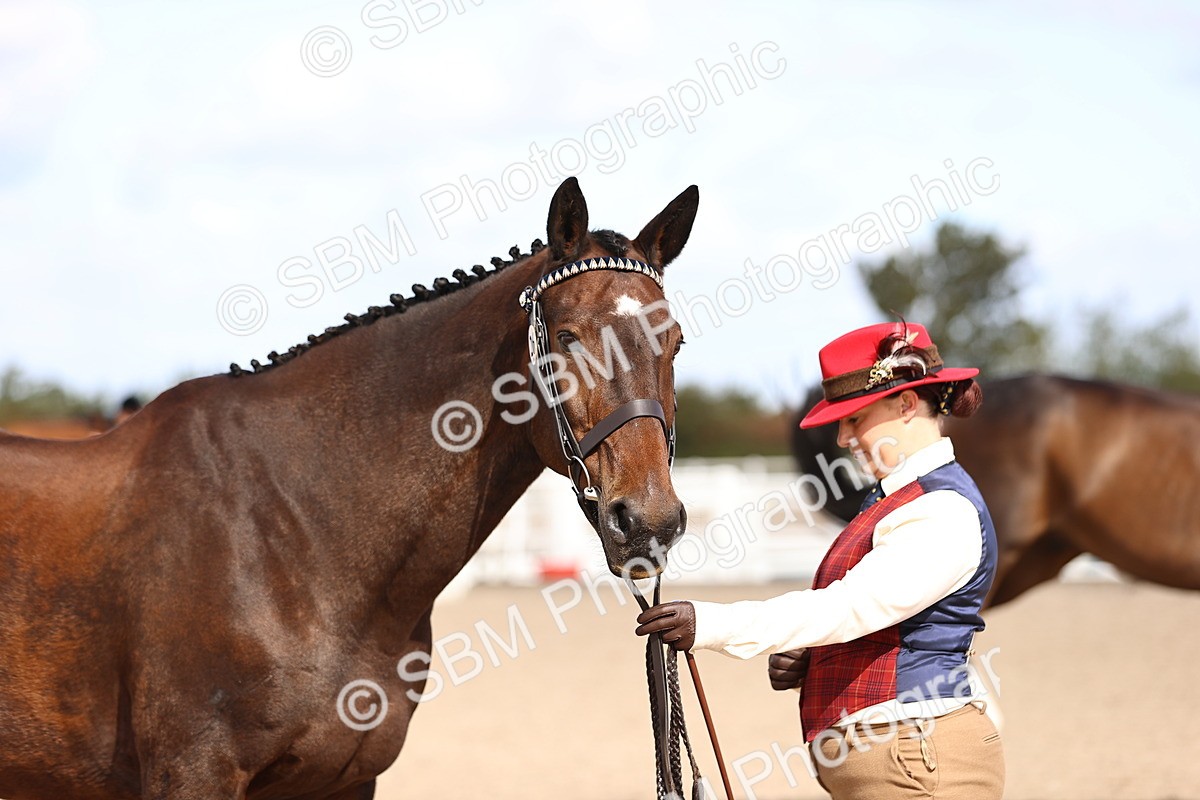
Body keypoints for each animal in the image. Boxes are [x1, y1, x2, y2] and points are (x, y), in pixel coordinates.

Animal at [0, 177, 699, 800]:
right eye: (566, 338)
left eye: (675, 341)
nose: (649, 521)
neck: (296, 529)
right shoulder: (192, 773)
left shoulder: (344, 780)